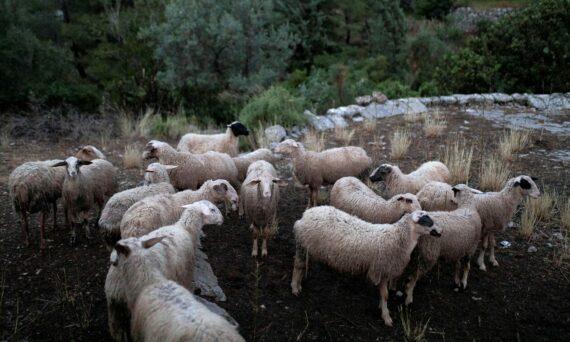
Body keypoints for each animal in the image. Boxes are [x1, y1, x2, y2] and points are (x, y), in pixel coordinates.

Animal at [105, 200, 225, 342]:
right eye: (212, 210)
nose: (222, 219)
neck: (185, 229)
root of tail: (116, 284)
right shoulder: (186, 272)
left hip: (115, 310)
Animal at [290, 206, 438, 326]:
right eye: (426, 221)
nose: (439, 232)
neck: (398, 238)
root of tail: (305, 215)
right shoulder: (381, 268)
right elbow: (385, 295)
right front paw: (386, 317)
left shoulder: (384, 271)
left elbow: (383, 294)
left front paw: (382, 308)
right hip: (303, 245)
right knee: (297, 266)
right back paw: (295, 287)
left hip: (309, 249)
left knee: (302, 266)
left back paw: (300, 284)